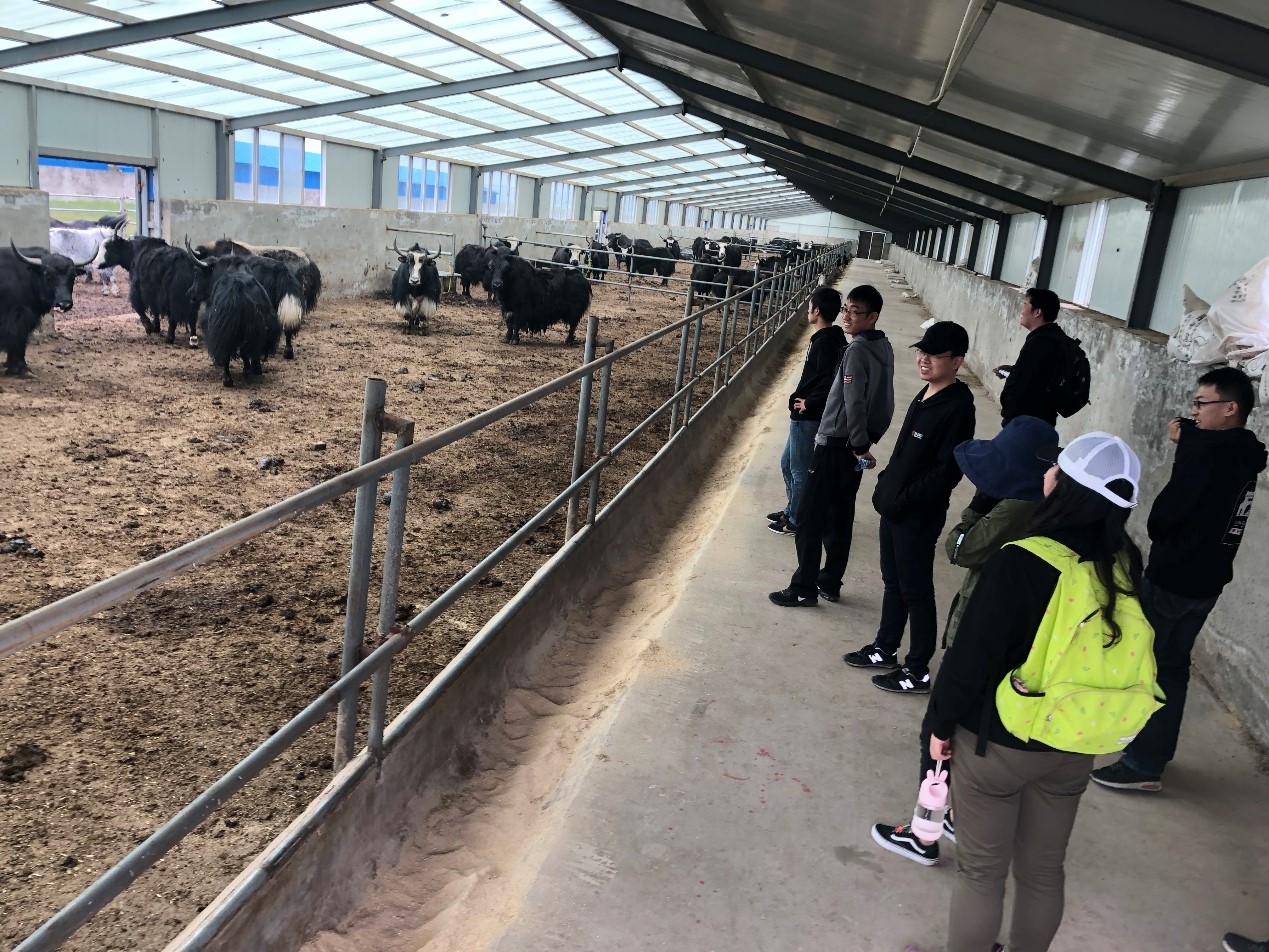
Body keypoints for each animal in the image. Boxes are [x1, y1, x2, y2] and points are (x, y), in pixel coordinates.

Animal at [0, 240, 95, 375]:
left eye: (73, 276)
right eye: (47, 274)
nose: (64, 304)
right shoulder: (17, 317)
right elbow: (18, 339)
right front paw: (22, 369)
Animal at [196, 257, 281, 387]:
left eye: (199, 275)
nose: (190, 292)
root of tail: (235, 291)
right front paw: (257, 369)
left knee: (227, 352)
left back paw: (228, 379)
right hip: (253, 330)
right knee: (246, 350)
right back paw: (247, 371)